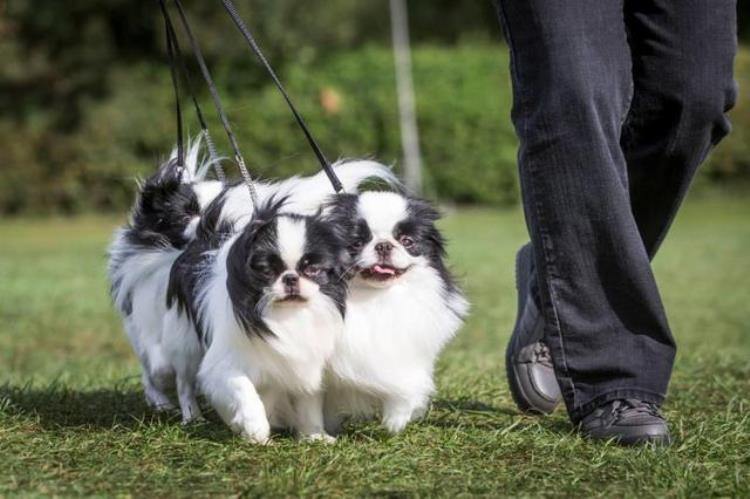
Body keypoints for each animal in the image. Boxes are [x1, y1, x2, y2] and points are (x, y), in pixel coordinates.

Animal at [324, 190, 470, 434]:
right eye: (356, 242)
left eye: (407, 241)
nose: (383, 245)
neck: (377, 298)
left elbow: (404, 389)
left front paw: (394, 424)